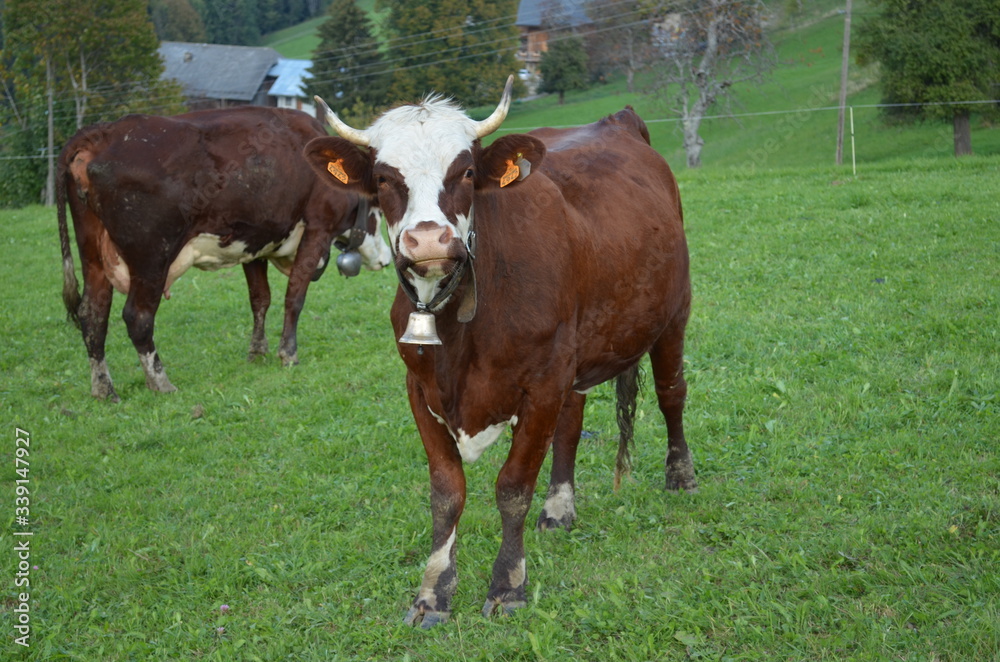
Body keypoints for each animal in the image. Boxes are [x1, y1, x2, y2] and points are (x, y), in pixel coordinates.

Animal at [57, 106, 391, 402]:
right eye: (380, 209)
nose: (387, 258)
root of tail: (100, 133)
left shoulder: (255, 241)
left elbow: (260, 299)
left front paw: (257, 351)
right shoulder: (317, 230)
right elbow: (294, 297)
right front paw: (288, 353)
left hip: (93, 257)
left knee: (92, 315)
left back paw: (103, 389)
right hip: (151, 258)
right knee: (137, 317)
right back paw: (161, 383)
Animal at [303, 76, 696, 627]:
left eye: (466, 171)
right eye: (382, 178)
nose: (429, 240)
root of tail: (617, 119)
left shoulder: (542, 382)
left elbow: (512, 488)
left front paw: (508, 585)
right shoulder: (419, 388)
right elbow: (446, 493)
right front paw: (432, 593)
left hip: (673, 313)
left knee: (670, 393)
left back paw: (680, 475)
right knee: (572, 423)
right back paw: (559, 508)